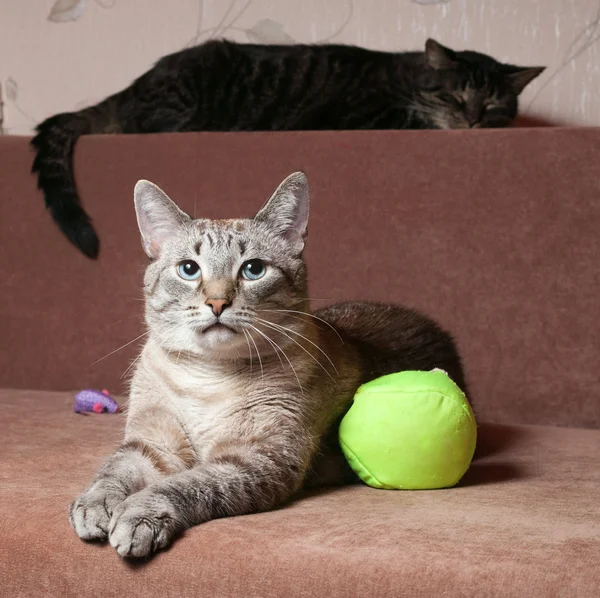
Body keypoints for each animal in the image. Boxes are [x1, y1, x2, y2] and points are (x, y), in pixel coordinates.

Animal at [31, 38, 544, 260]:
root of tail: (132, 86)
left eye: (494, 104)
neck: (410, 77)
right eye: (455, 97)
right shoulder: (363, 115)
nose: (473, 120)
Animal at [68, 171, 466, 560]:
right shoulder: (153, 445)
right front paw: (95, 505)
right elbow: (115, 470)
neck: (206, 377)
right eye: (188, 269)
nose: (217, 303)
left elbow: (183, 485)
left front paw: (138, 514)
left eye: (253, 269)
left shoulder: (254, 458)